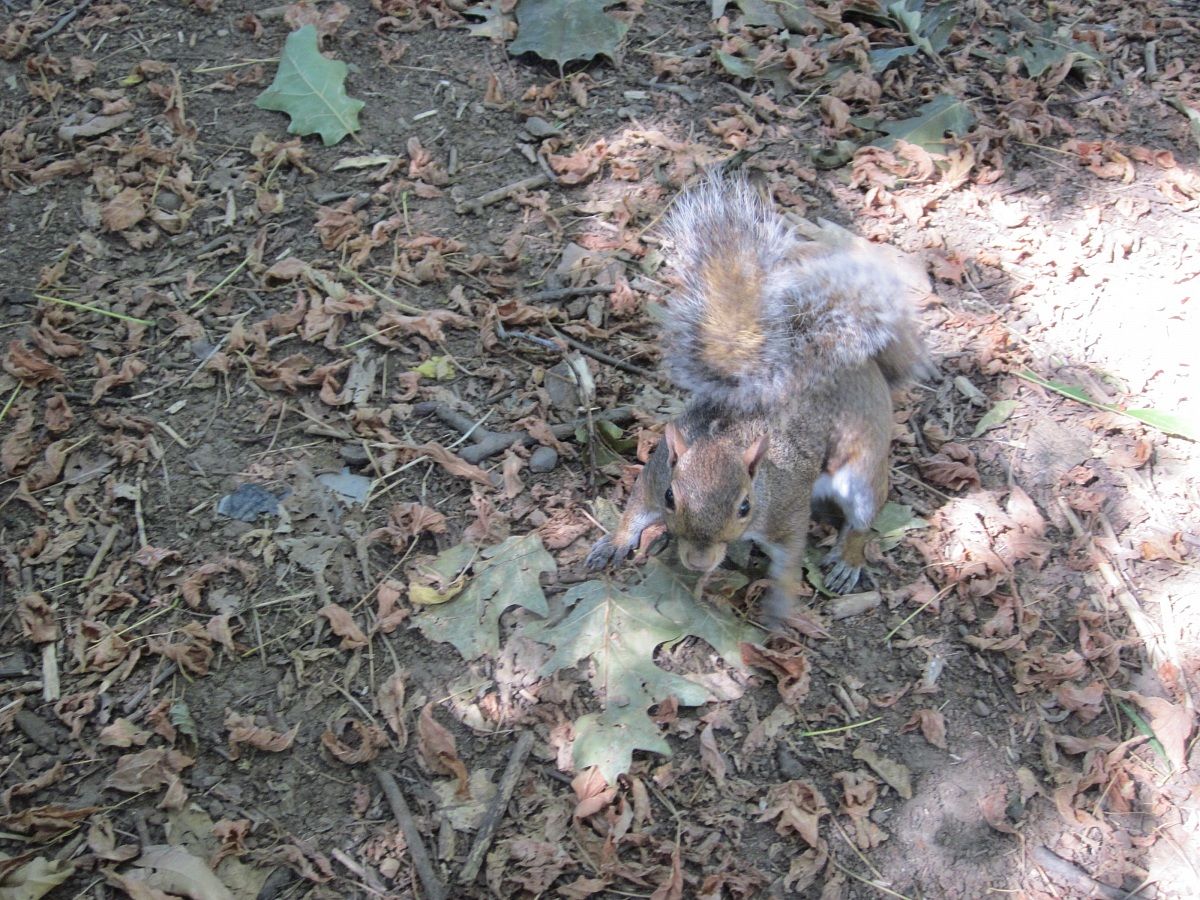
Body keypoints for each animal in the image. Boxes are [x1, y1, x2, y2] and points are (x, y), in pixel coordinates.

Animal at [585, 175, 929, 629]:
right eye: (671, 498)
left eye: (745, 506)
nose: (698, 563)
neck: (726, 440)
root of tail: (867, 366)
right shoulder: (656, 472)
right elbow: (635, 508)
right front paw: (616, 540)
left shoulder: (786, 512)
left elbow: (790, 558)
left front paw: (780, 604)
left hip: (864, 467)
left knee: (863, 514)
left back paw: (849, 558)